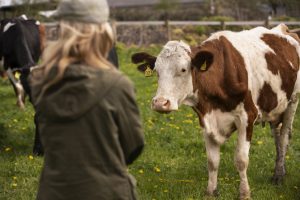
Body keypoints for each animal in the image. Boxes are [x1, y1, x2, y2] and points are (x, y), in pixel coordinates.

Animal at [132, 23, 300, 198]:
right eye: (156, 71)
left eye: (183, 69)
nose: (160, 103)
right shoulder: (206, 119)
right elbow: (212, 161)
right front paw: (211, 191)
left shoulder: (247, 117)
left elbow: (241, 160)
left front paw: (244, 193)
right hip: (276, 107)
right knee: (277, 136)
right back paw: (279, 172)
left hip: (293, 101)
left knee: (284, 137)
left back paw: (278, 176)